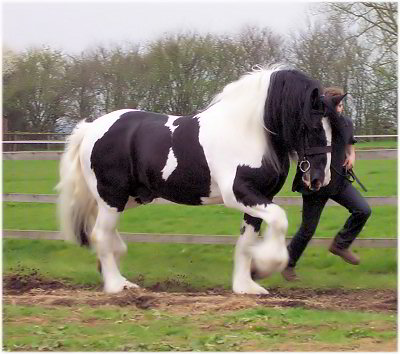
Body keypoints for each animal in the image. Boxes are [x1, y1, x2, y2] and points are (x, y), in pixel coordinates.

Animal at [56, 65, 338, 294]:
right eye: (313, 126)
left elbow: (247, 241)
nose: (319, 179)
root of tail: (91, 129)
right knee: (100, 235)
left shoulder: (260, 197)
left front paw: (245, 286)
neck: (246, 132)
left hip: (128, 197)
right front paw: (264, 266)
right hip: (112, 196)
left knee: (104, 233)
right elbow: (279, 220)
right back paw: (117, 285)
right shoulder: (239, 194)